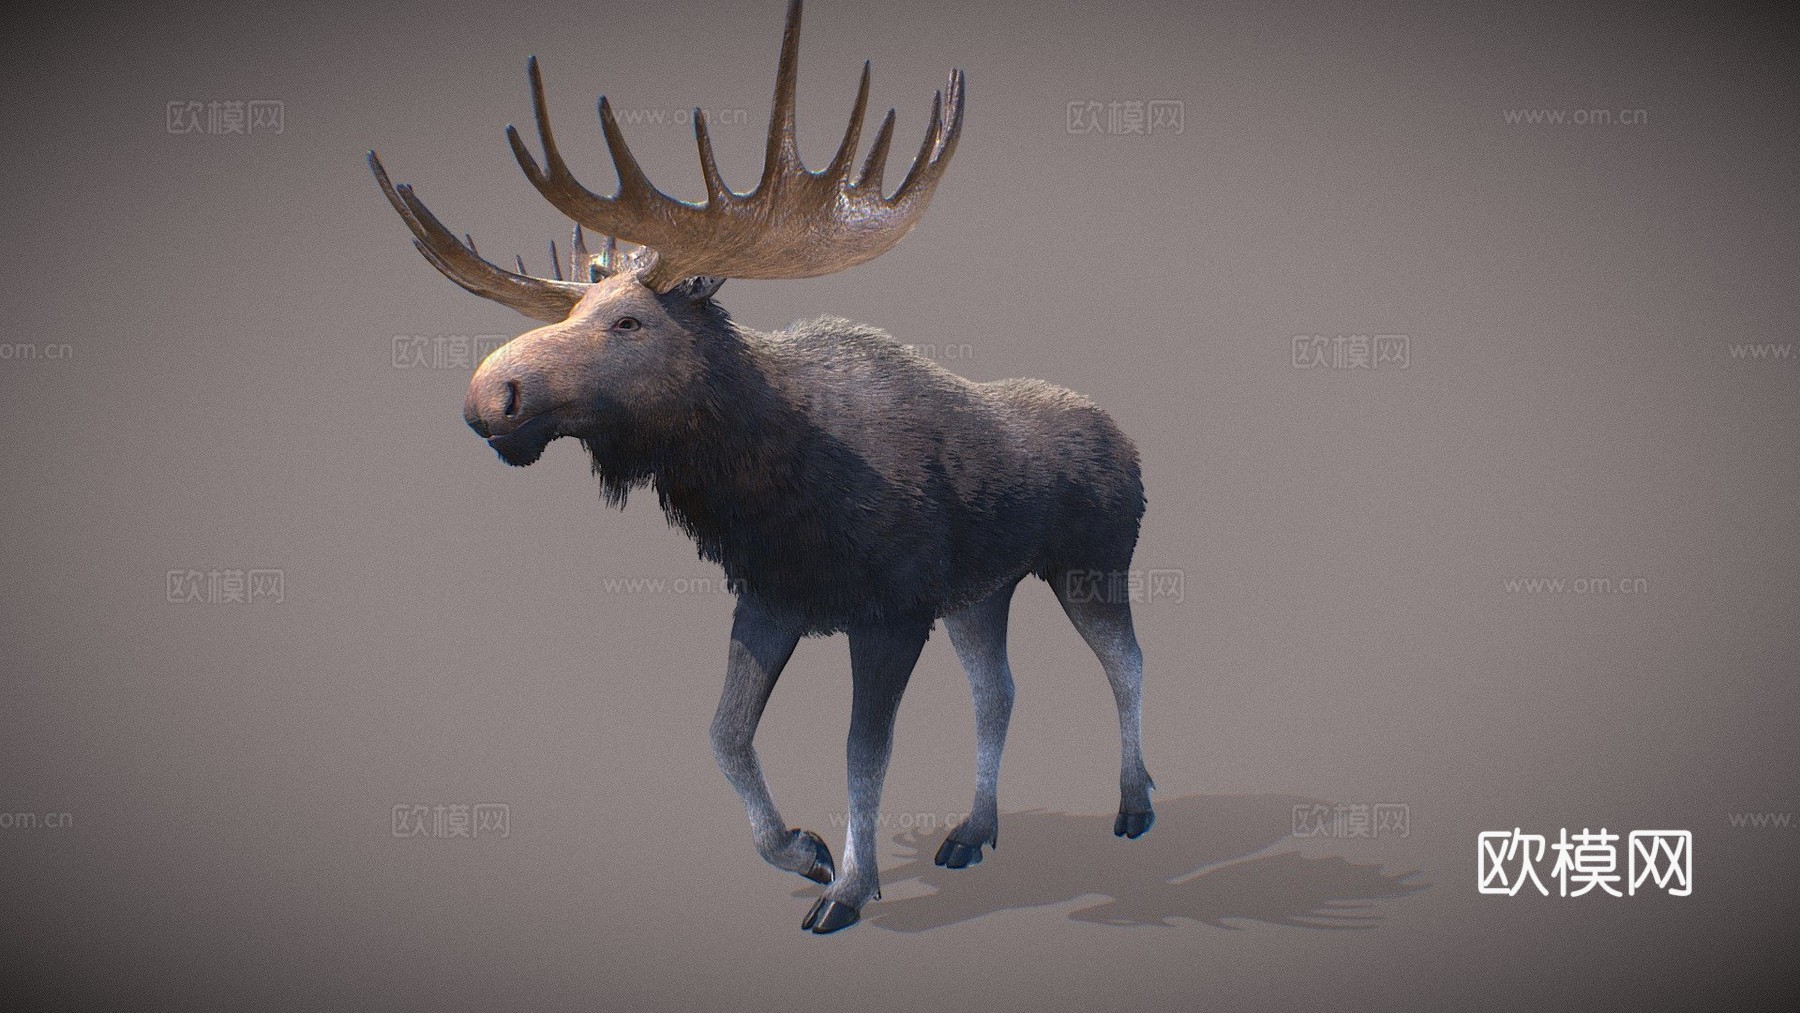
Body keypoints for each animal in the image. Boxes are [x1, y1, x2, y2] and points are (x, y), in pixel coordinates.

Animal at [368, 0, 1153, 933]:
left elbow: (862, 752)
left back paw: (1134, 804)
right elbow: (724, 733)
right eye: (577, 310)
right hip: (982, 592)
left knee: (1127, 664)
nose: (492, 393)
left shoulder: (890, 613)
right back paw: (973, 831)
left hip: (1093, 563)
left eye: (629, 321)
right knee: (998, 690)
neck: (770, 480)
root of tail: (1131, 440)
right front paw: (803, 850)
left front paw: (848, 889)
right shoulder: (771, 598)